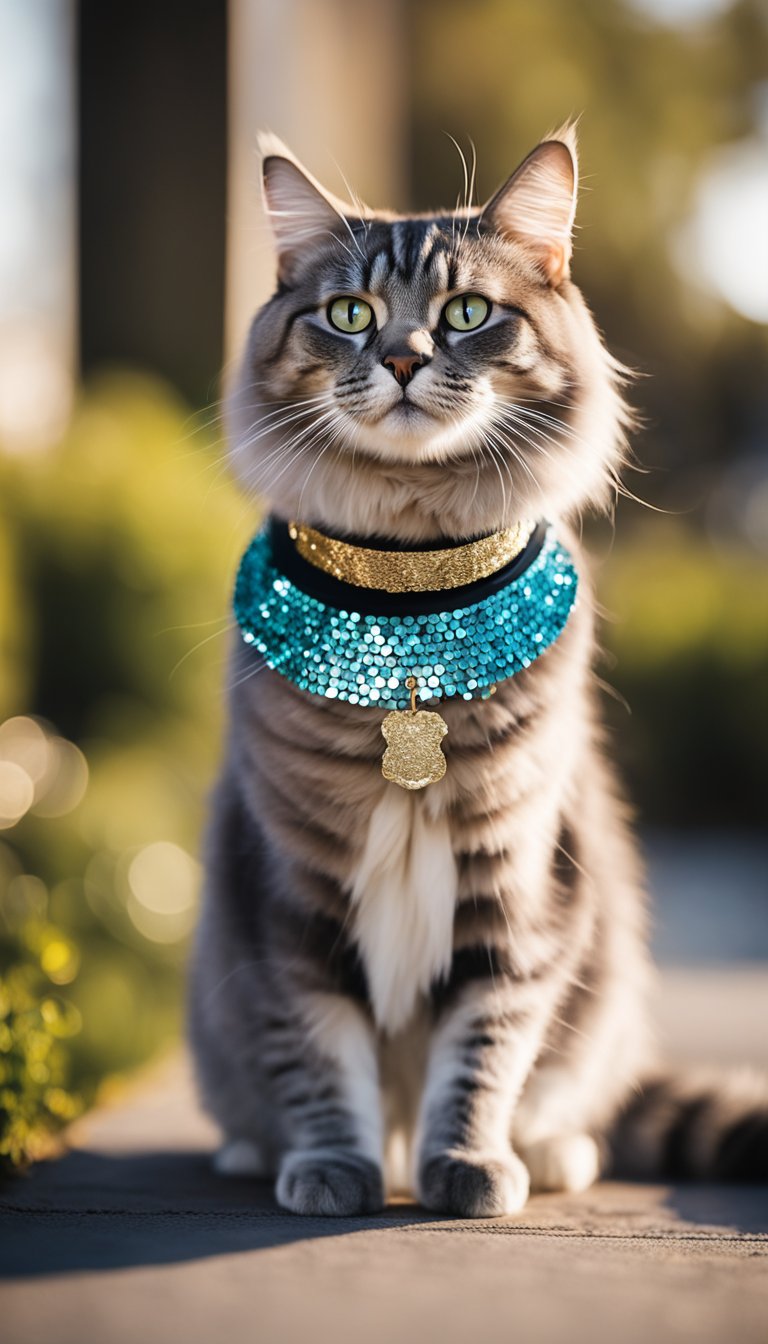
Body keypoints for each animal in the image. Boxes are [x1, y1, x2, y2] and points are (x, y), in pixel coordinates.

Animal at [188, 128, 768, 1220]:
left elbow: (483, 1054)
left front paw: (467, 1165)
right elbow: (319, 1059)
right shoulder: (290, 900)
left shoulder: (519, 892)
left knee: (572, 1102)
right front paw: (332, 1170)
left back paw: (549, 1153)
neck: (409, 606)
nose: (403, 359)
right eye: (350, 314)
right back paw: (256, 1152)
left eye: (465, 313)